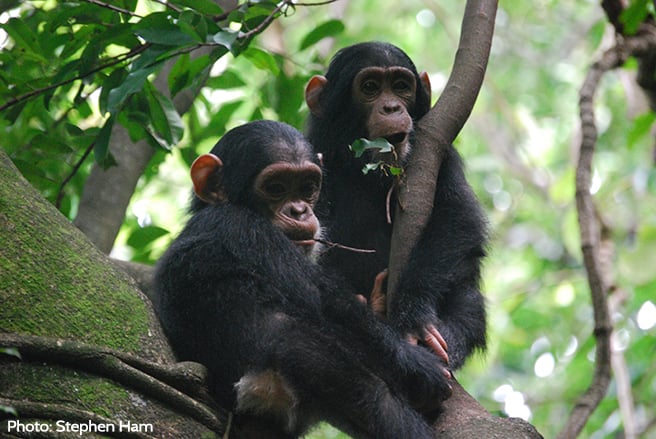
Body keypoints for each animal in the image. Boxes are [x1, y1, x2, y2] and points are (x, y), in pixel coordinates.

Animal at [154, 120, 452, 439]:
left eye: (307, 187)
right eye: (276, 188)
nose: (299, 210)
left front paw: (378, 300)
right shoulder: (243, 230)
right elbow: (327, 304)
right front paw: (421, 368)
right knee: (357, 387)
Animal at [304, 40, 486, 372]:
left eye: (401, 86)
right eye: (370, 87)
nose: (391, 107)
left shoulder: (441, 155)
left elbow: (456, 215)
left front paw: (413, 312)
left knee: (469, 301)